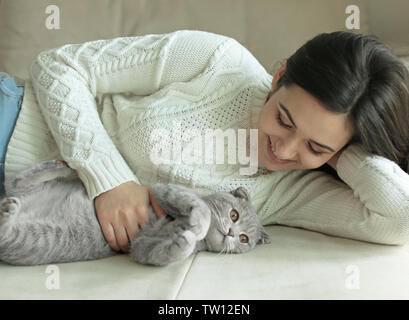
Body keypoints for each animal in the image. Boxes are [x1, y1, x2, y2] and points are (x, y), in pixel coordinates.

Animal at [0, 159, 270, 266]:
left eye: (244, 239)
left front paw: (184, 241)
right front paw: (198, 224)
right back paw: (58, 167)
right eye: (234, 215)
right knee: (14, 183)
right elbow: (200, 207)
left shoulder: (140, 246)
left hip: (29, 238)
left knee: (12, 193)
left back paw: (8, 208)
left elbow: (164, 253)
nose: (232, 233)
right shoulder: (163, 190)